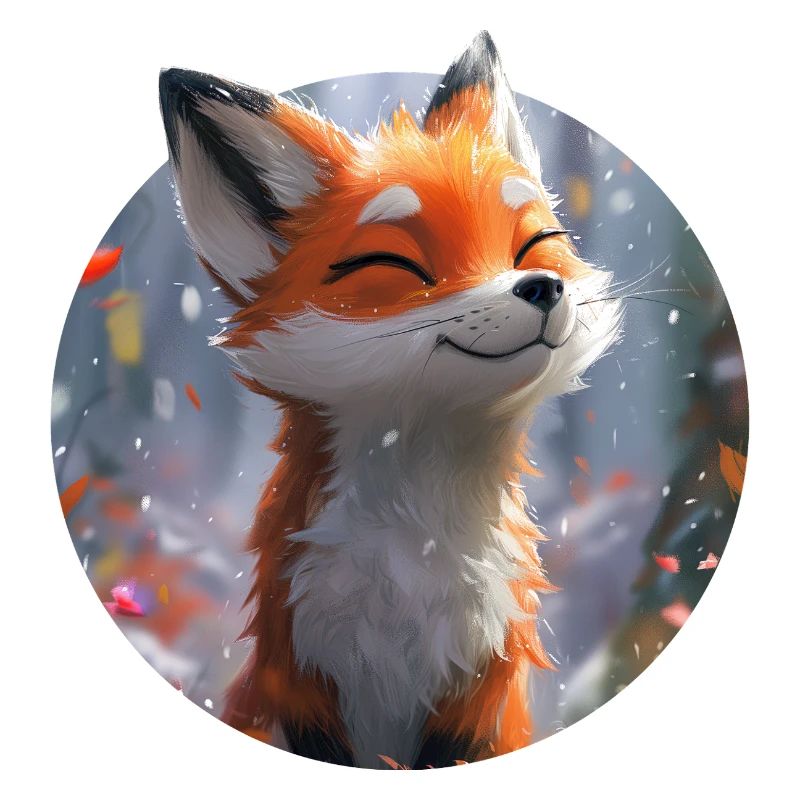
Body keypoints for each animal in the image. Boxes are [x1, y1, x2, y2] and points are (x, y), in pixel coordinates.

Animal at [159, 31, 620, 769]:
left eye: (533, 246)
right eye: (398, 266)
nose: (543, 287)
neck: (415, 555)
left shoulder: (480, 690)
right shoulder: (302, 676)